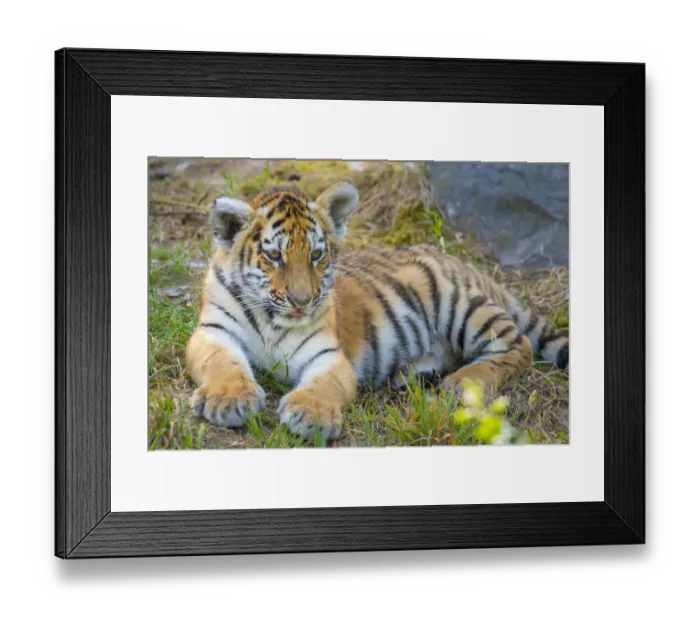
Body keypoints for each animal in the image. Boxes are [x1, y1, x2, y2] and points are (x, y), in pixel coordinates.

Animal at [186, 181, 569, 440]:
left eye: (316, 255)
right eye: (275, 256)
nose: (302, 301)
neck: (272, 319)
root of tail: (461, 261)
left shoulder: (327, 355)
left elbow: (324, 385)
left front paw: (310, 414)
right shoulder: (215, 334)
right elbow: (223, 364)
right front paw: (229, 400)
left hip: (460, 305)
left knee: (517, 345)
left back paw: (462, 383)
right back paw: (412, 375)